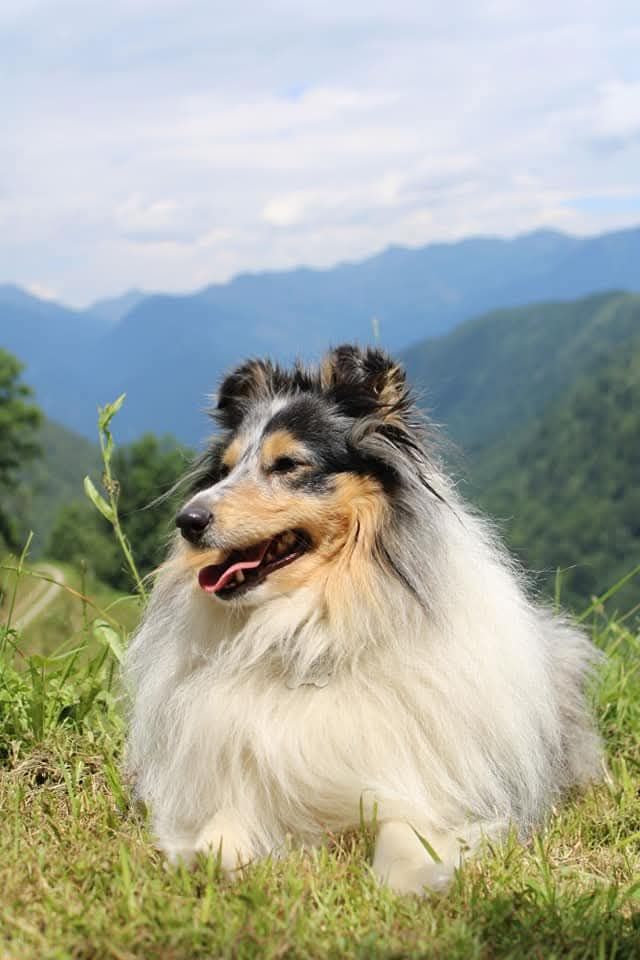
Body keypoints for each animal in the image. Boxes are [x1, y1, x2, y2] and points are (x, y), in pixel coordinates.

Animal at [124, 344, 600, 892]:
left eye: (287, 464)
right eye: (223, 470)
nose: (188, 521)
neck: (309, 631)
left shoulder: (421, 785)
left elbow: (403, 833)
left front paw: (415, 881)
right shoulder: (240, 780)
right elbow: (219, 834)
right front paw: (204, 863)